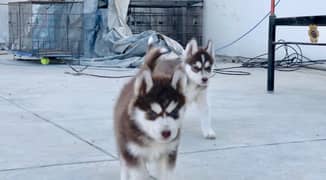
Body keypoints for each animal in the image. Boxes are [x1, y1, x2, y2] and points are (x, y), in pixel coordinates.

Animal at [114, 46, 186, 180]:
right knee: (124, 166)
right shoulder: (132, 153)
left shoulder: (168, 152)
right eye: (152, 113)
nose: (166, 133)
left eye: (174, 112)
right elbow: (139, 174)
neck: (152, 140)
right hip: (123, 147)